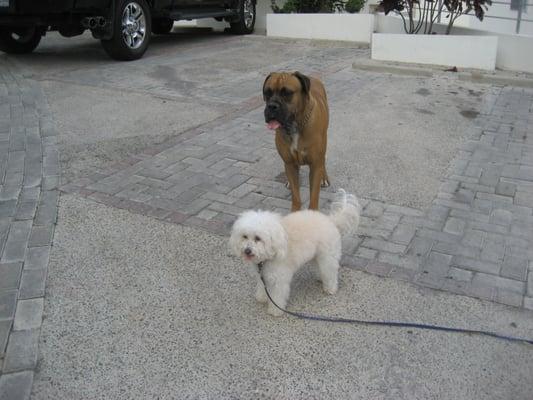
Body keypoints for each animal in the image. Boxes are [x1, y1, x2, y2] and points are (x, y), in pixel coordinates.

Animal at [230, 189, 362, 318]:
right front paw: (262, 297)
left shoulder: (279, 280)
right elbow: (262, 287)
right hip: (317, 255)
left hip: (327, 256)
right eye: (244, 236)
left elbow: (277, 296)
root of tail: (330, 220)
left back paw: (331, 288)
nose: (247, 250)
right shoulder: (263, 276)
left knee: (330, 272)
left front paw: (275, 311)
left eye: (258, 238)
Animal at [262, 71, 328, 212]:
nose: (272, 106)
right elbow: (295, 195)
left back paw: (324, 178)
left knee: (323, 160)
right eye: (267, 92)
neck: (295, 126)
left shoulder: (315, 165)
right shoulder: (289, 164)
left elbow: (314, 195)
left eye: (287, 93)